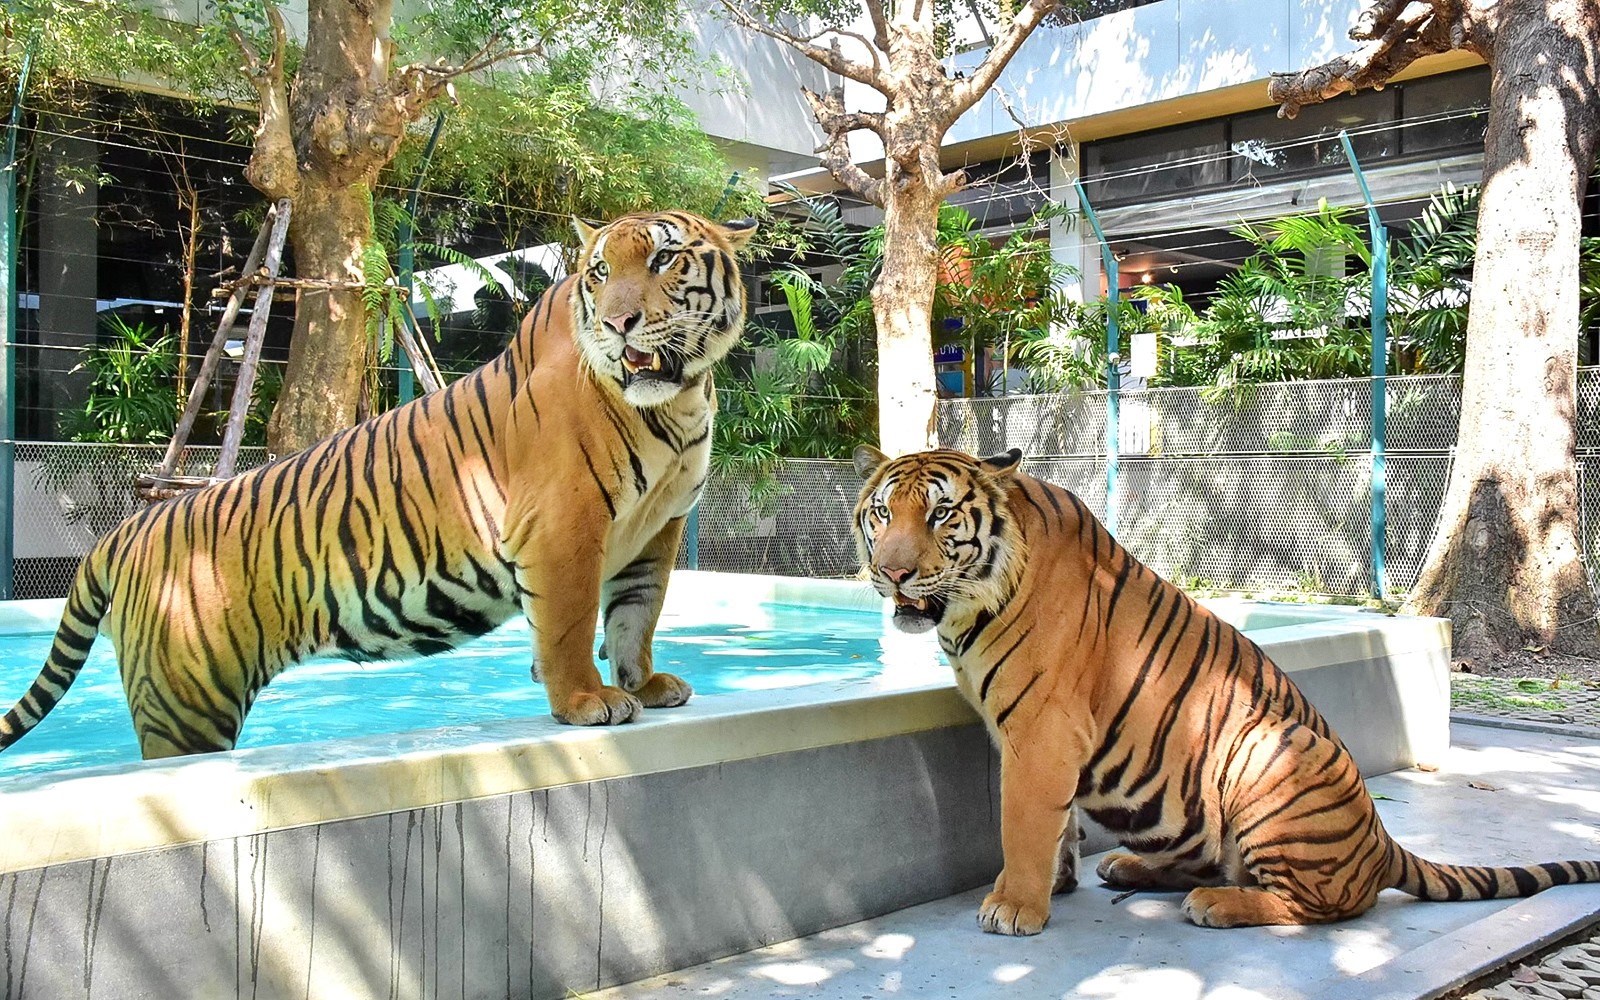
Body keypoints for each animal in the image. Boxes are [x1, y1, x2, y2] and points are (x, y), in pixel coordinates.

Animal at [0, 210, 757, 760]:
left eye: (663, 260)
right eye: (600, 273)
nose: (619, 323)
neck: (679, 401)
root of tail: (126, 532)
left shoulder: (657, 529)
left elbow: (636, 614)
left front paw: (644, 684)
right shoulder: (563, 525)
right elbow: (571, 624)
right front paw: (585, 700)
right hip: (186, 706)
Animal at [852, 444, 1600, 933]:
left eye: (941, 517)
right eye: (883, 515)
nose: (892, 573)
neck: (971, 603)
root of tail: (1381, 841)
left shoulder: (1041, 731)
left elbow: (1024, 824)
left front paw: (1015, 906)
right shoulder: (1030, 735)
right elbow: (1055, 825)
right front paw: (1057, 885)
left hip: (1270, 748)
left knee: (1322, 905)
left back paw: (1216, 906)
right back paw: (1127, 868)